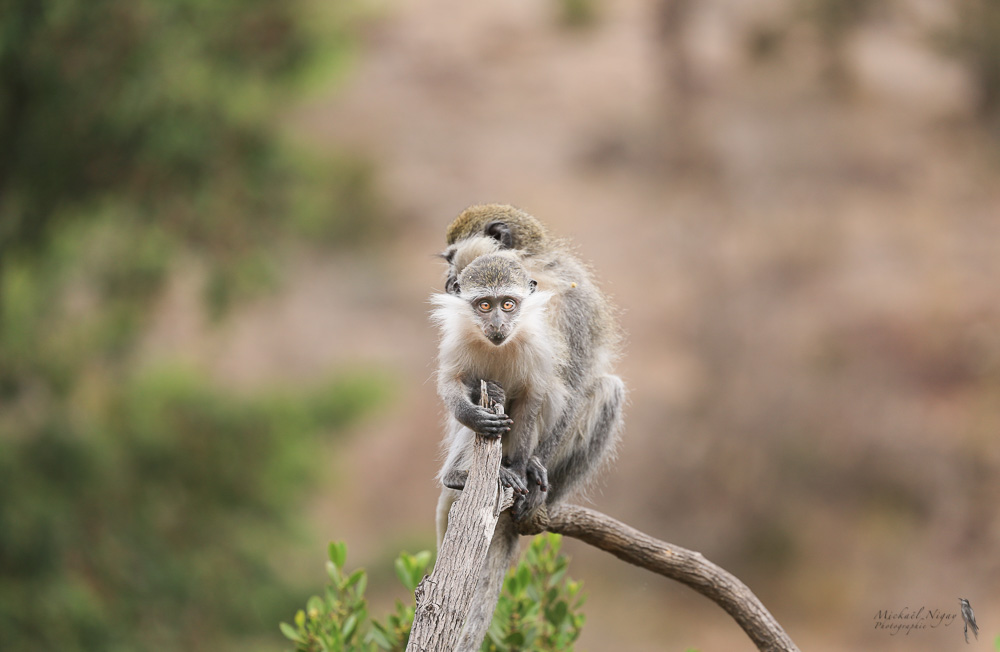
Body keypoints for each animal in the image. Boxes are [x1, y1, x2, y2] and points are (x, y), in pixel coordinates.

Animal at [432, 204, 626, 652]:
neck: (534, 267)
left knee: (605, 390)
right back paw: (466, 475)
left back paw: (535, 488)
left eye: (451, 257)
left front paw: (533, 467)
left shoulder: (574, 303)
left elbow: (574, 380)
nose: (448, 281)